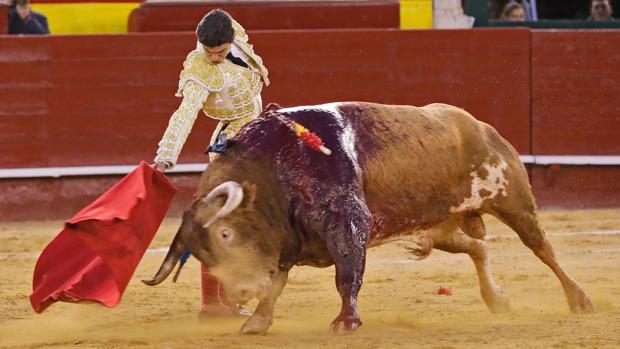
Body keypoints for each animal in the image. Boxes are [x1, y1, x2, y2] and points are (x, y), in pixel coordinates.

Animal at [143, 102, 592, 334]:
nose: (238, 293)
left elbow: (346, 277)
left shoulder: (349, 225)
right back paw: (497, 299)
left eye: (226, 234)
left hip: (513, 201)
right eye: (203, 256)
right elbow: (278, 282)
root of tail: (481, 127)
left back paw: (579, 299)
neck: (274, 166)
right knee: (478, 247)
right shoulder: (287, 240)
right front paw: (257, 321)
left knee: (543, 249)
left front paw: (346, 322)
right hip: (440, 227)